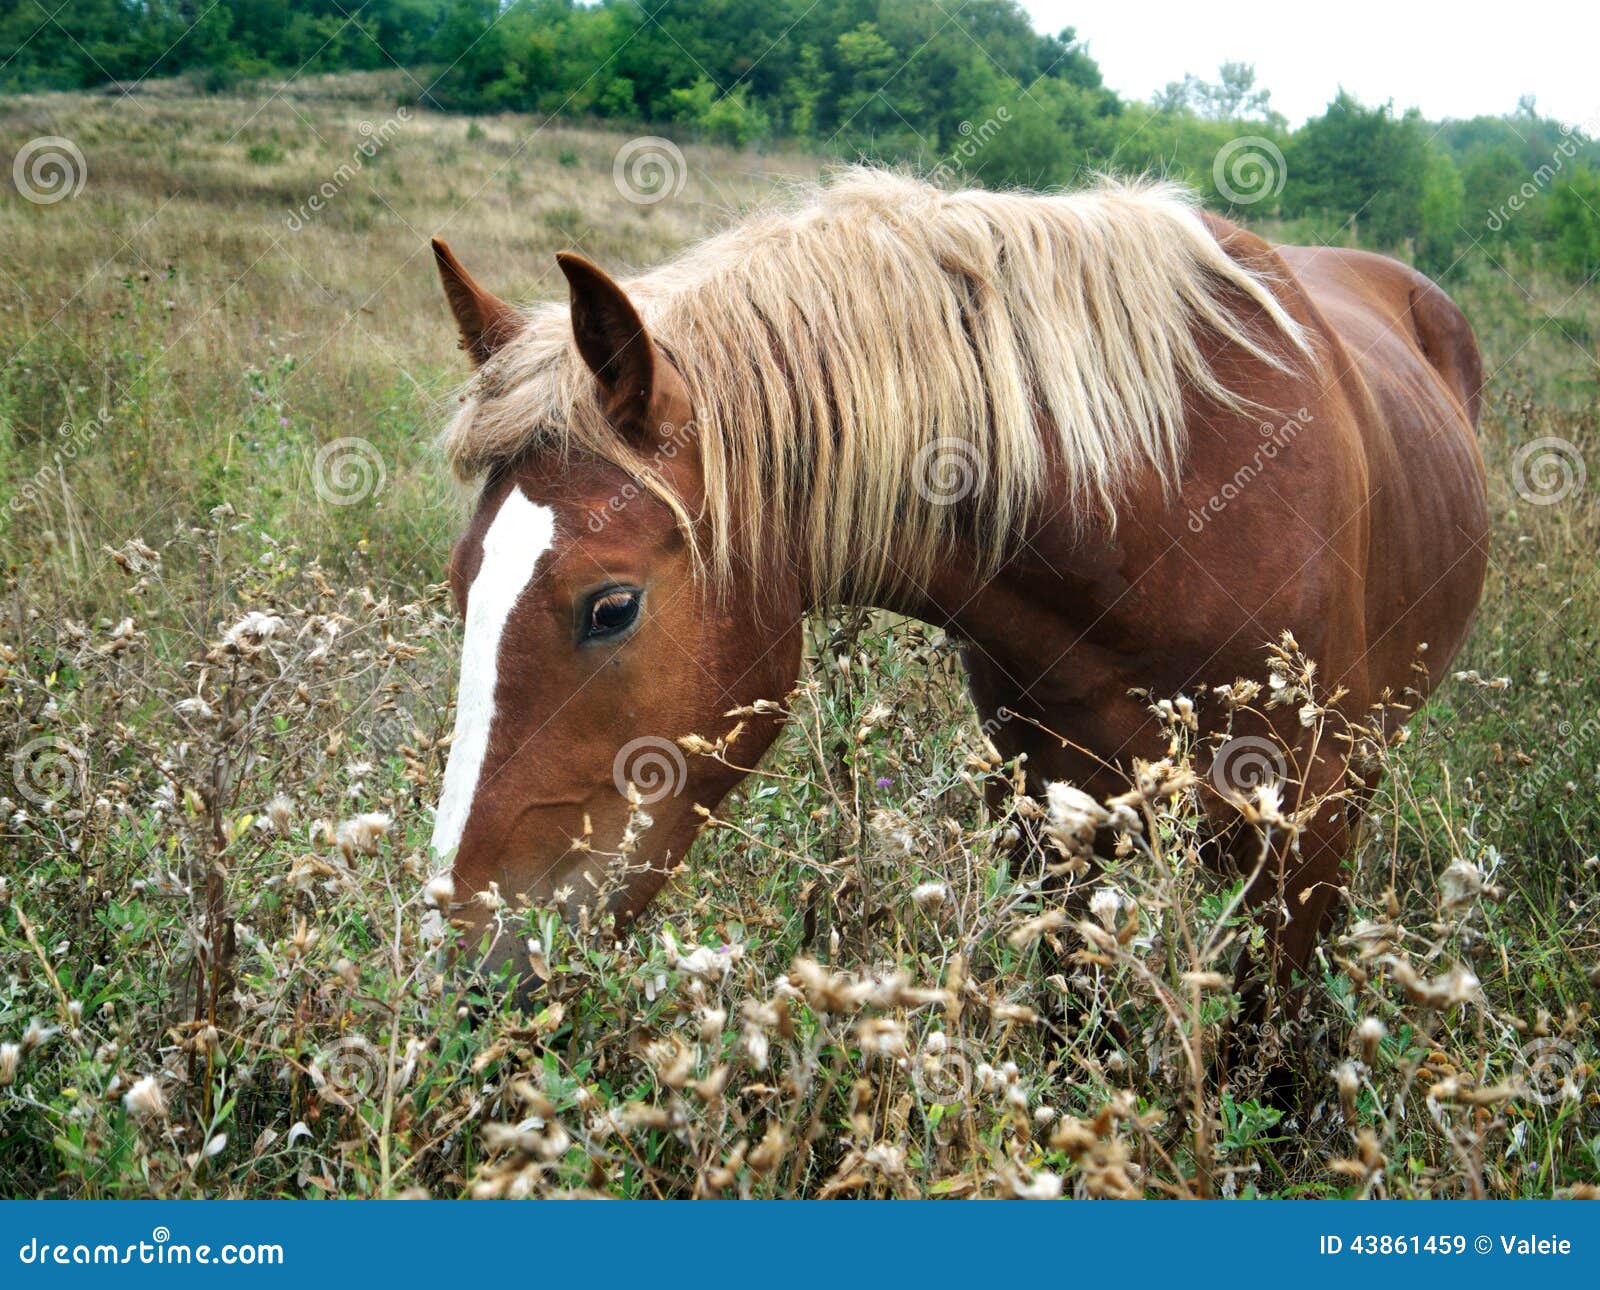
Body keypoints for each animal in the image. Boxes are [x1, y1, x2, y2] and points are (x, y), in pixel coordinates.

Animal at [423, 169, 1487, 1031]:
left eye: (610, 608)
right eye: (462, 584)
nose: (466, 963)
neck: (1164, 505)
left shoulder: (1303, 840)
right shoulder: (1045, 821)